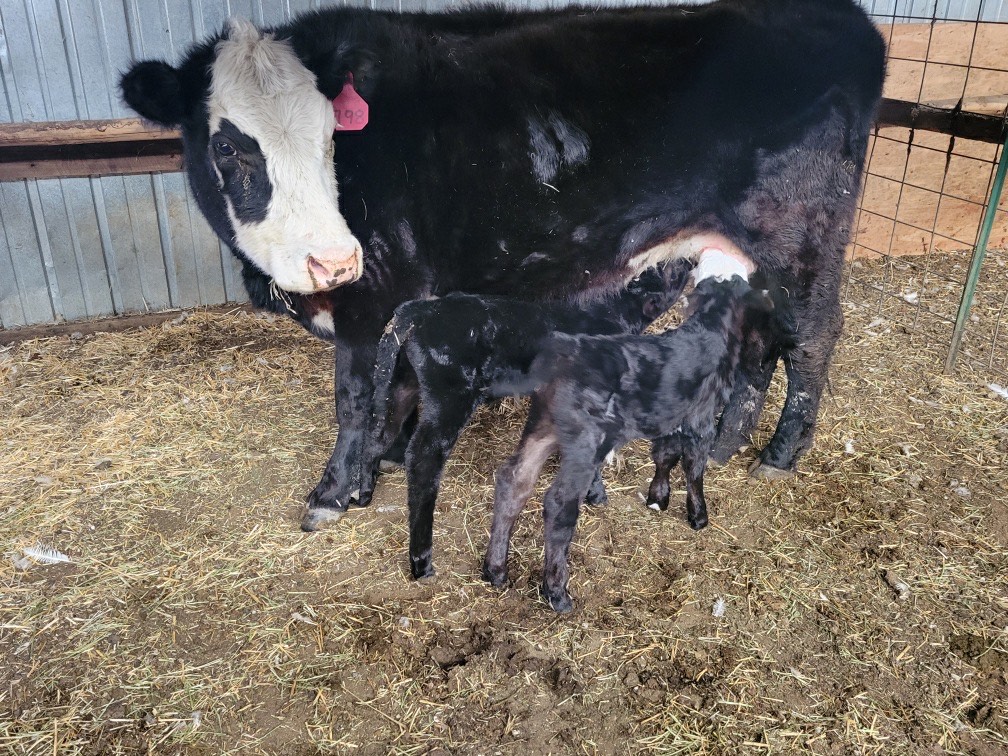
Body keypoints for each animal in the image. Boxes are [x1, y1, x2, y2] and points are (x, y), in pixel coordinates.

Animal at [119, 0, 886, 537]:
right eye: (228, 146)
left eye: (332, 137)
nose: (332, 259)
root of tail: (848, 21)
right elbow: (397, 388)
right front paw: (382, 463)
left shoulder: (373, 300)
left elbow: (355, 398)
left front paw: (335, 491)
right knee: (761, 340)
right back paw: (729, 442)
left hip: (801, 234)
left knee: (813, 334)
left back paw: (779, 453)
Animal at [352, 260, 692, 578]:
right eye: (665, 270)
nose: (687, 262)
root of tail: (417, 310)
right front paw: (597, 493)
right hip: (451, 395)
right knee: (423, 457)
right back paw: (421, 560)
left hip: (401, 384)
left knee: (377, 433)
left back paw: (362, 493)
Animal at [483, 271, 794, 612]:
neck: (709, 329)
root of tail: (562, 354)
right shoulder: (700, 418)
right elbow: (694, 467)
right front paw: (698, 515)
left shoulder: (670, 416)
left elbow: (664, 455)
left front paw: (658, 497)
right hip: (584, 441)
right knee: (559, 502)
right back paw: (556, 591)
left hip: (542, 426)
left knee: (515, 480)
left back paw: (495, 570)